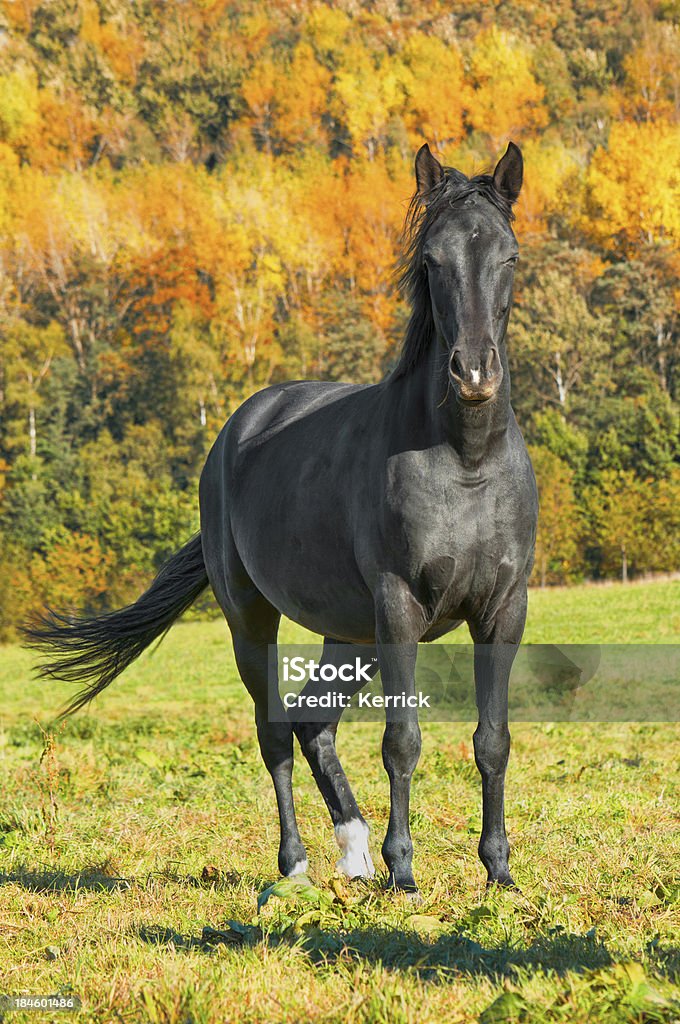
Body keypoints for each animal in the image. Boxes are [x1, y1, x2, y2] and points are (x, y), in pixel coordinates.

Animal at [26, 144, 536, 897]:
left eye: (508, 255)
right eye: (432, 259)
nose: (473, 373)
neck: (465, 460)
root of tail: (239, 429)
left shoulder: (503, 609)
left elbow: (492, 741)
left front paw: (500, 873)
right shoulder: (399, 610)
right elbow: (402, 741)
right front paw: (405, 874)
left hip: (349, 633)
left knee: (312, 723)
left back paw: (353, 854)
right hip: (254, 619)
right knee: (275, 733)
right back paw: (296, 865)